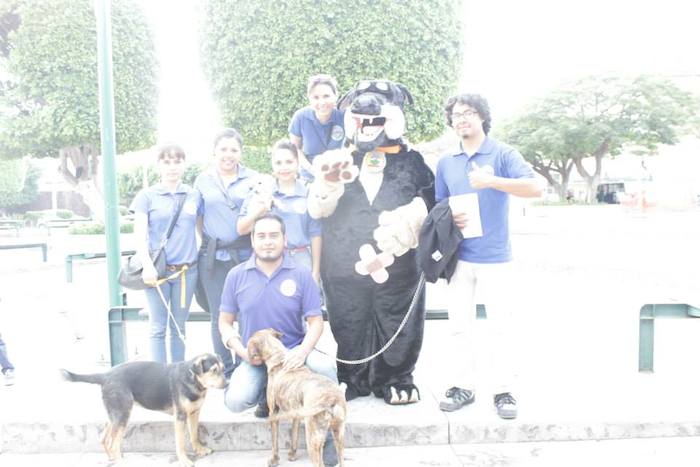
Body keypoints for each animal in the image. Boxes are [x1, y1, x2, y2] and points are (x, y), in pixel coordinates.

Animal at [61, 354, 224, 467]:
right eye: (213, 371)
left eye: (222, 369)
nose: (227, 382)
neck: (193, 379)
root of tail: (105, 375)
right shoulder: (180, 416)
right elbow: (180, 442)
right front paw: (184, 460)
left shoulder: (194, 413)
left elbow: (194, 435)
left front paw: (200, 450)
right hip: (123, 414)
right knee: (113, 443)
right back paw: (120, 462)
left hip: (115, 414)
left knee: (104, 438)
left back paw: (112, 458)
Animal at [249, 330, 348, 467]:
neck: (279, 358)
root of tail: (332, 399)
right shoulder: (295, 413)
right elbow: (294, 435)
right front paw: (292, 454)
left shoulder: (273, 412)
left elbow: (274, 442)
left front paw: (274, 459)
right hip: (338, 435)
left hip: (312, 437)